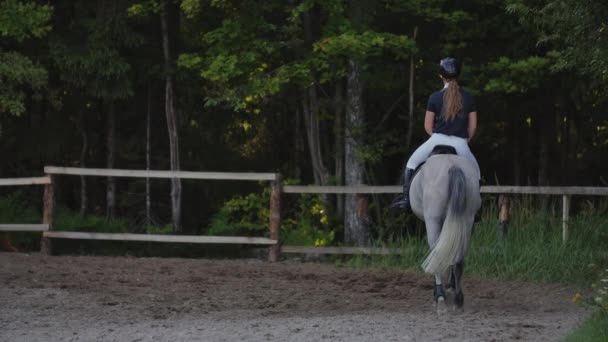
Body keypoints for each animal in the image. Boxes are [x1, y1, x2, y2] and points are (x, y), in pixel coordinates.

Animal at [408, 148, 480, 312]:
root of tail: (452, 165)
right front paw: (451, 288)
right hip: (466, 220)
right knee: (458, 260)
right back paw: (458, 300)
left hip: (433, 221)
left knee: (437, 256)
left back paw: (440, 298)